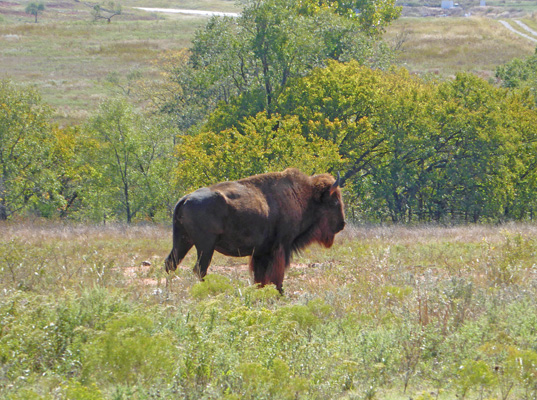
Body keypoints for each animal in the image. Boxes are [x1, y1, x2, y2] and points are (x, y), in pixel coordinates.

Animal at [165, 167, 346, 292]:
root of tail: (185, 199)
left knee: (171, 264)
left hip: (183, 241)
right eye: (335, 202)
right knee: (200, 269)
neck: (303, 197)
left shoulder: (261, 252)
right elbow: (276, 273)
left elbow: (261, 276)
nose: (342, 224)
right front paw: (279, 292)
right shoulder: (282, 246)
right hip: (205, 246)